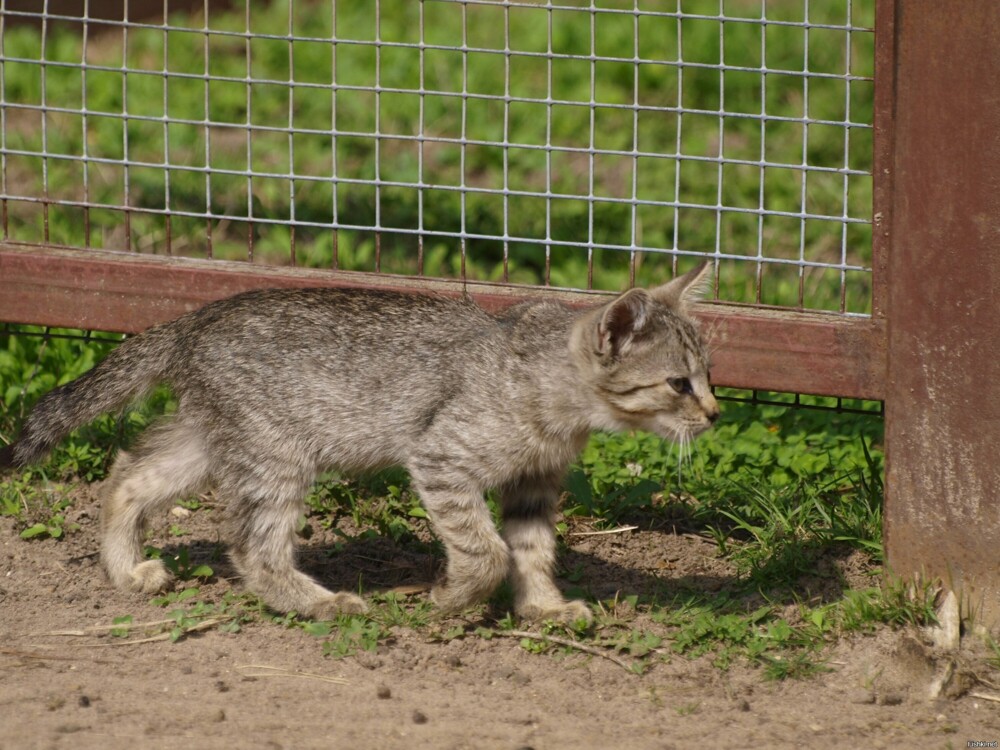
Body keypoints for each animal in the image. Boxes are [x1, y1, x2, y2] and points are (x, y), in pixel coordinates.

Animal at [0, 262, 720, 624]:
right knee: (252, 547)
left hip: (211, 442)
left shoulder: (533, 487)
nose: (713, 413)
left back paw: (126, 570)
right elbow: (485, 551)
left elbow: (533, 551)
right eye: (678, 383)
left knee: (127, 472)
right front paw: (452, 599)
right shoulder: (440, 460)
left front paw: (542, 607)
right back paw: (317, 602)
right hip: (276, 458)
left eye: (711, 376)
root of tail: (194, 317)